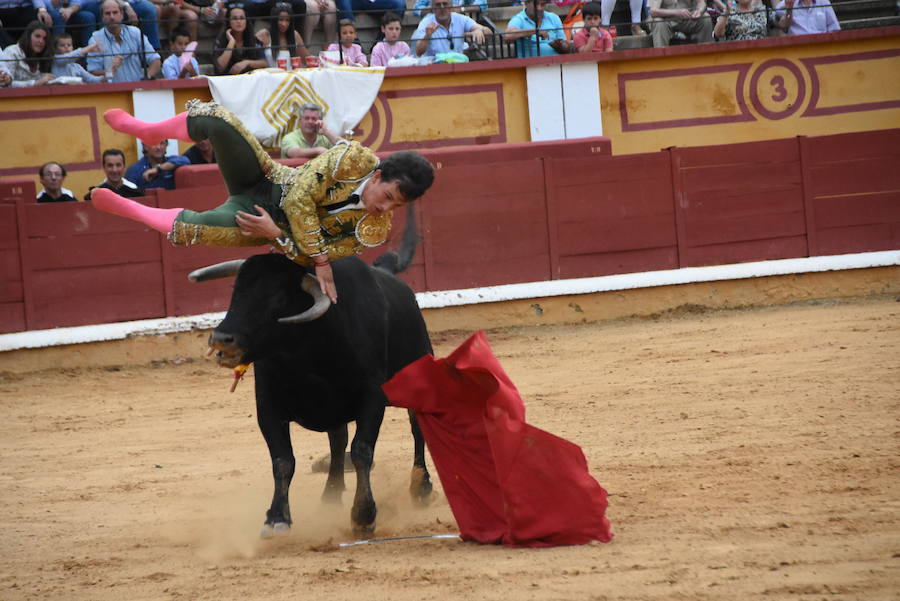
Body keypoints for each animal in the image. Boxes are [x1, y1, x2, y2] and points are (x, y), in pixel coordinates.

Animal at [192, 253, 436, 536]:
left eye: (278, 298)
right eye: (236, 292)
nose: (221, 338)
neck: (305, 352)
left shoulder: (372, 397)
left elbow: (362, 450)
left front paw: (363, 515)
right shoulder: (267, 406)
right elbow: (283, 460)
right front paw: (277, 517)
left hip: (418, 370)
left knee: (417, 425)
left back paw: (420, 486)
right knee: (338, 441)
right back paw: (330, 496)